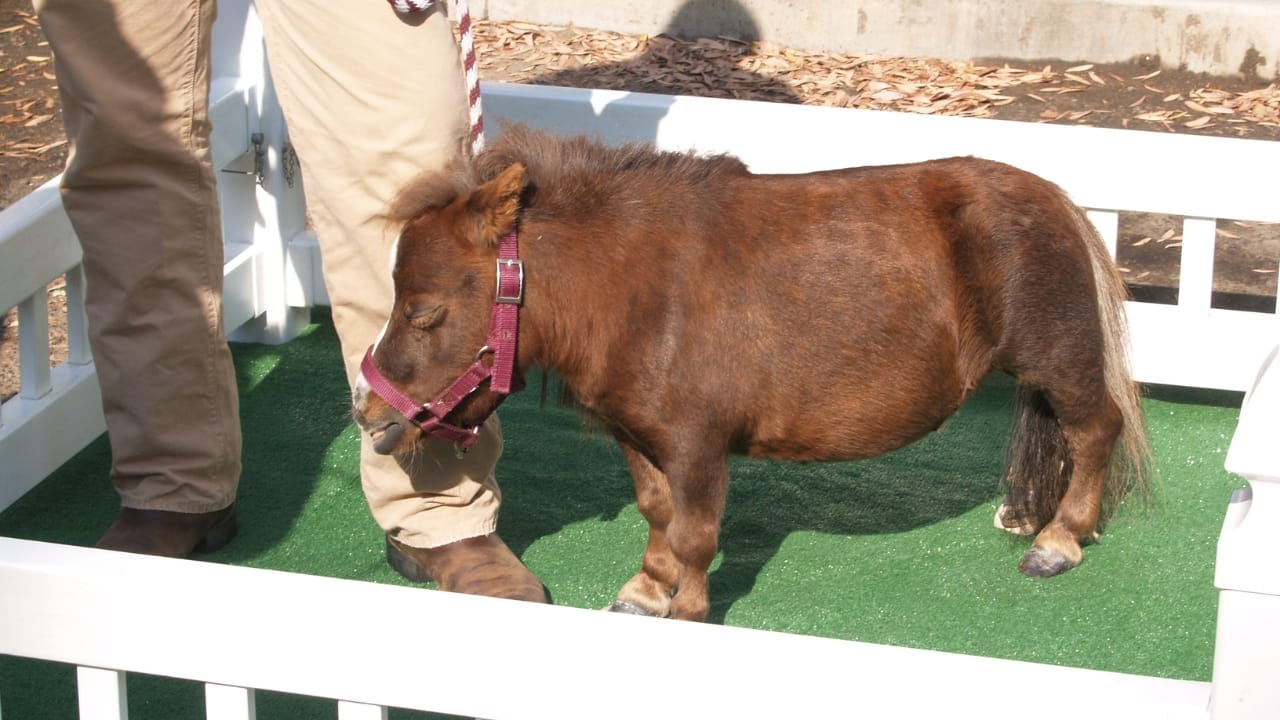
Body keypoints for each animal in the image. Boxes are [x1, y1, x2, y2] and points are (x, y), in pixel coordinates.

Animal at [352, 124, 1154, 622]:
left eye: (423, 311)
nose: (369, 415)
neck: (637, 293)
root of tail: (1056, 199)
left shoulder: (699, 448)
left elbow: (696, 536)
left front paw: (688, 612)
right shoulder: (639, 438)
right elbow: (658, 513)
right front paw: (646, 591)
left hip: (1057, 358)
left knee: (1095, 430)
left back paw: (1059, 540)